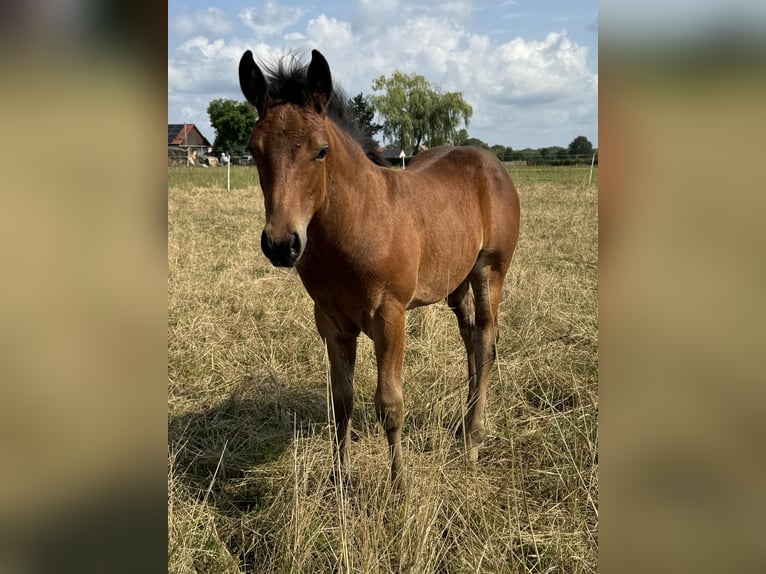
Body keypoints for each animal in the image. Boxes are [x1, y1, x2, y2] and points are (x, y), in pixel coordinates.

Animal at [238, 50, 520, 490]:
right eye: (253, 150)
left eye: (321, 151)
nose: (282, 244)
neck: (360, 224)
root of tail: (490, 161)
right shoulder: (331, 322)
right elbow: (341, 400)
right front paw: (339, 480)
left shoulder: (391, 317)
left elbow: (389, 403)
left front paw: (399, 485)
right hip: (455, 282)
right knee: (471, 335)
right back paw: (462, 425)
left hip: (491, 270)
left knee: (487, 338)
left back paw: (474, 439)